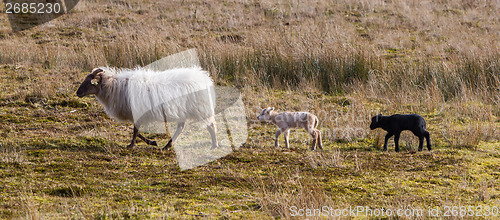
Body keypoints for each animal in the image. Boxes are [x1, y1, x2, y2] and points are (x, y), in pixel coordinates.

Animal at [75, 67, 219, 150]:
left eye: (90, 82)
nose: (78, 93)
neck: (113, 86)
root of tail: (204, 78)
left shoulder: (138, 112)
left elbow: (135, 130)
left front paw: (131, 145)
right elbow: (137, 131)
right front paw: (151, 142)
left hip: (200, 108)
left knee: (210, 125)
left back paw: (214, 144)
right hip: (183, 110)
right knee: (181, 127)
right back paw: (168, 145)